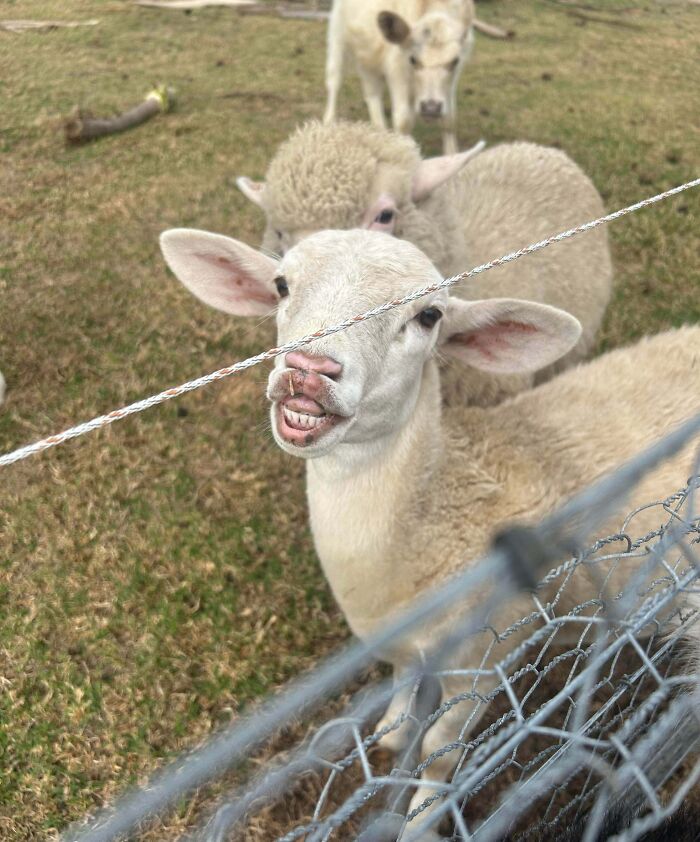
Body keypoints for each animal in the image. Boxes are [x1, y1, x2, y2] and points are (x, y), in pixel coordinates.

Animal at [159, 226, 700, 836]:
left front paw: (419, 821)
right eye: (281, 285)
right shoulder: (395, 636)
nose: (309, 370)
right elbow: (399, 679)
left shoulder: (483, 663)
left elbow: (440, 759)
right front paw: (390, 734)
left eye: (429, 316)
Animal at [324, 0, 476, 153]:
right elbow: (403, 121)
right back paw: (329, 120)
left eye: (454, 61)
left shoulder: (454, 77)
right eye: (412, 59)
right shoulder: (396, 70)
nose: (430, 108)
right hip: (337, 37)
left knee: (372, 94)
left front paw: (452, 154)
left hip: (367, 56)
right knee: (334, 81)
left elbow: (449, 119)